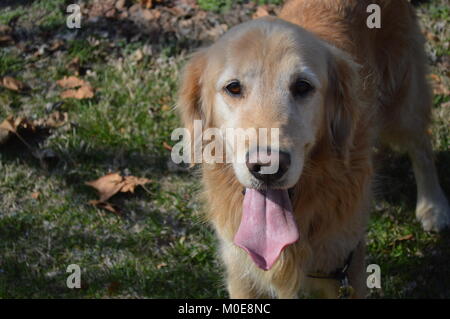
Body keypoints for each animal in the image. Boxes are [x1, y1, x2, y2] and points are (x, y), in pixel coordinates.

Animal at [176, 0, 450, 300]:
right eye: (233, 88)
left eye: (302, 86)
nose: (268, 166)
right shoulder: (241, 275)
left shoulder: (347, 266)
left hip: (402, 104)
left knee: (421, 146)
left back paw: (433, 206)